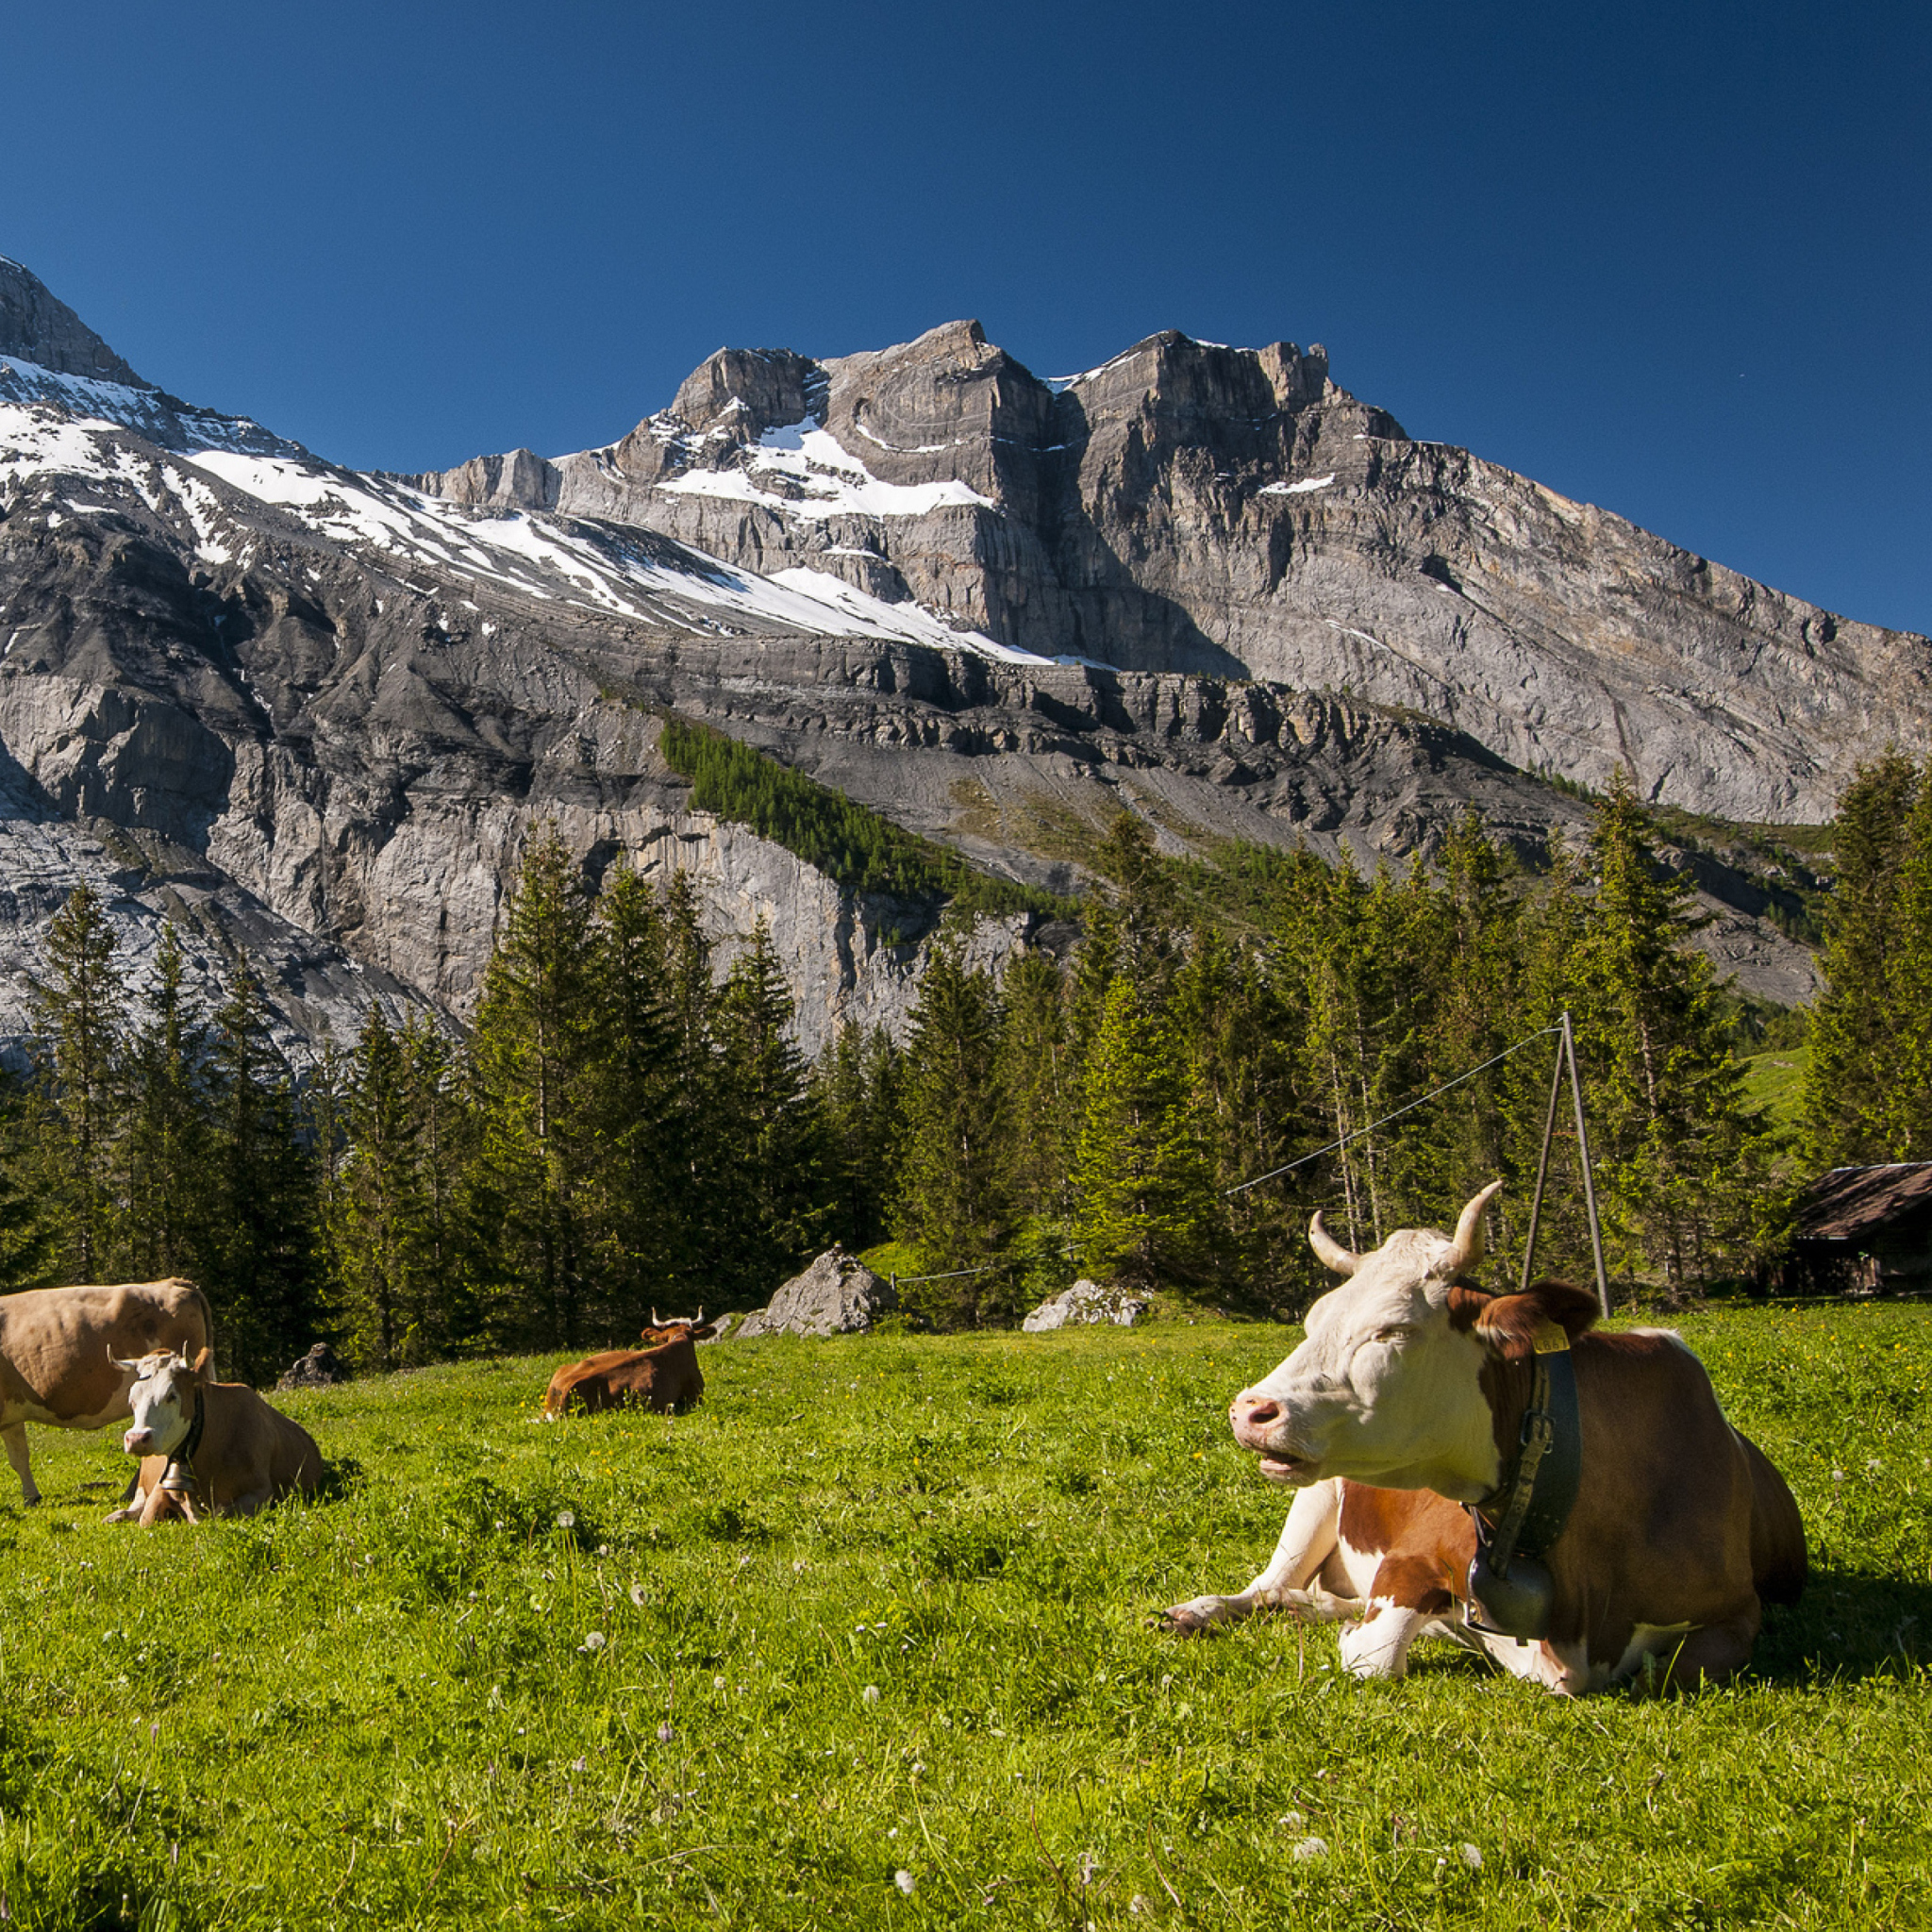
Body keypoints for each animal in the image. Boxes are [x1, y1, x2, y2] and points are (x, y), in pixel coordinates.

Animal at [106, 1352, 325, 1530]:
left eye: (171, 1395)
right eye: (132, 1398)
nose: (136, 1439)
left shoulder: (261, 1491)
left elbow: (221, 1514)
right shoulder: (162, 1486)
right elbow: (146, 1518)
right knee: (134, 1506)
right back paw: (115, 1516)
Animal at [1158, 1174, 1807, 1692]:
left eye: (1393, 1330)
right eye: (1314, 1319)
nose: (1249, 1410)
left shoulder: (1739, 1612)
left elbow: (1670, 1670)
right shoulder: (1412, 1558)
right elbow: (1374, 1654)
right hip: (1316, 1499)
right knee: (1264, 1587)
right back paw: (1198, 1611)